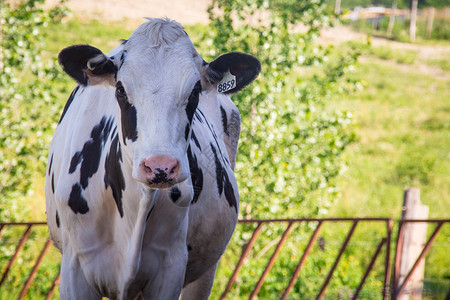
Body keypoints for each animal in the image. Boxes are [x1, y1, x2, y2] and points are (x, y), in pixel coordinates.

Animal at [44, 17, 260, 298]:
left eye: (195, 91)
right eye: (121, 89)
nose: (160, 166)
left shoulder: (170, 269)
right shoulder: (75, 268)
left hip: (205, 271)